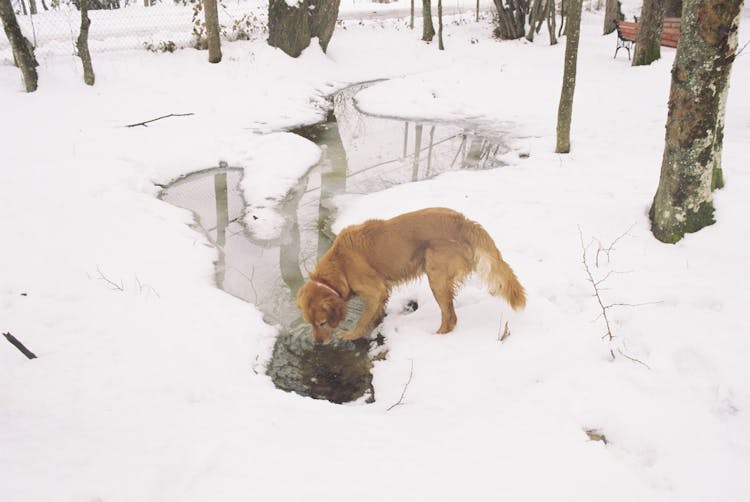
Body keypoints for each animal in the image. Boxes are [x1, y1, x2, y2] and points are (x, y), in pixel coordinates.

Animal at [296, 208, 524, 346]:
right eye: (310, 323)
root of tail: (464, 222)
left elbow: (362, 320)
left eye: (323, 323)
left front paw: (350, 335)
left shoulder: (375, 291)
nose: (316, 343)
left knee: (450, 317)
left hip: (436, 276)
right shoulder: (382, 293)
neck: (340, 265)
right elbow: (374, 314)